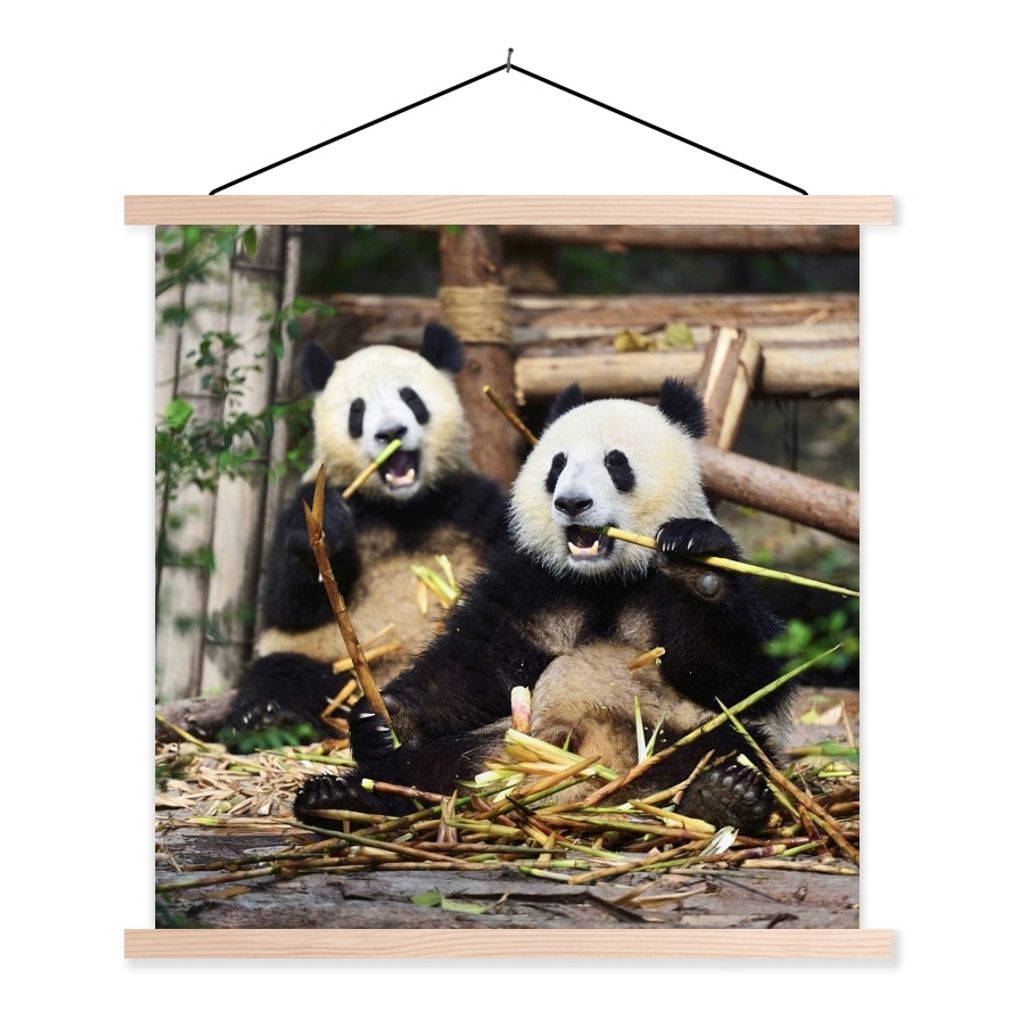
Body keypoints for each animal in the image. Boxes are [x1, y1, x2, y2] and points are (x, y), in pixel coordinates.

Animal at [224, 323, 507, 737]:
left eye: (411, 397)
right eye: (357, 410)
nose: (390, 431)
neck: (402, 507)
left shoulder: (468, 502)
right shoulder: (313, 498)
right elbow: (286, 603)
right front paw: (326, 528)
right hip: (328, 661)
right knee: (282, 674)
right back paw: (272, 717)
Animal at [293, 379, 789, 832]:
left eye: (616, 462)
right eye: (558, 463)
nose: (572, 502)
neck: (603, 580)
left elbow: (737, 675)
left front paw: (695, 561)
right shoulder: (532, 584)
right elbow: (473, 666)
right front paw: (385, 719)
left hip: (671, 735)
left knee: (733, 747)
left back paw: (722, 795)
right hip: (500, 743)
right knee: (422, 767)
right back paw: (344, 799)